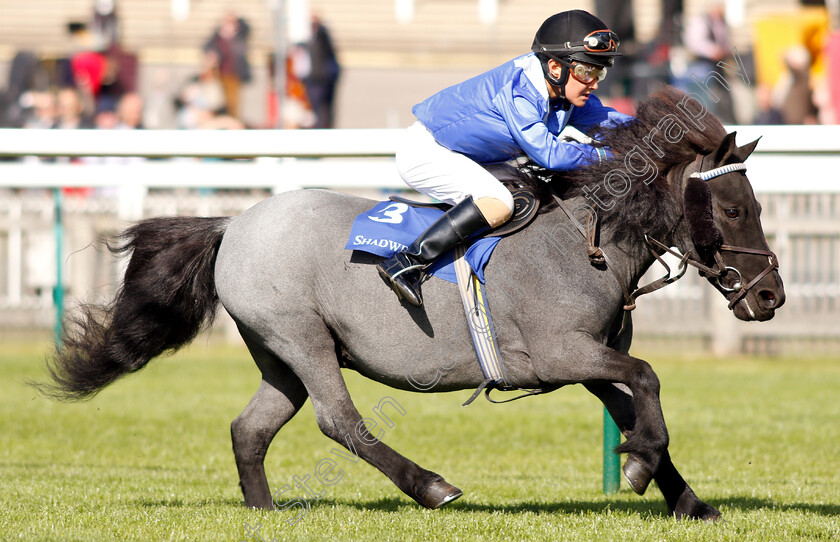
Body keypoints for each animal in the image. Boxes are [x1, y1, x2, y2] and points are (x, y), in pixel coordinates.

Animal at [39, 88, 784, 524]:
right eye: (733, 208)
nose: (770, 296)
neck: (587, 241)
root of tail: (233, 223)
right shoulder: (558, 352)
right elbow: (649, 378)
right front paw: (638, 466)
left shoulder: (594, 357)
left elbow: (637, 404)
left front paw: (683, 496)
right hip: (303, 338)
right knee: (339, 422)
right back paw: (430, 486)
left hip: (278, 353)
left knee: (251, 428)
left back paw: (266, 511)